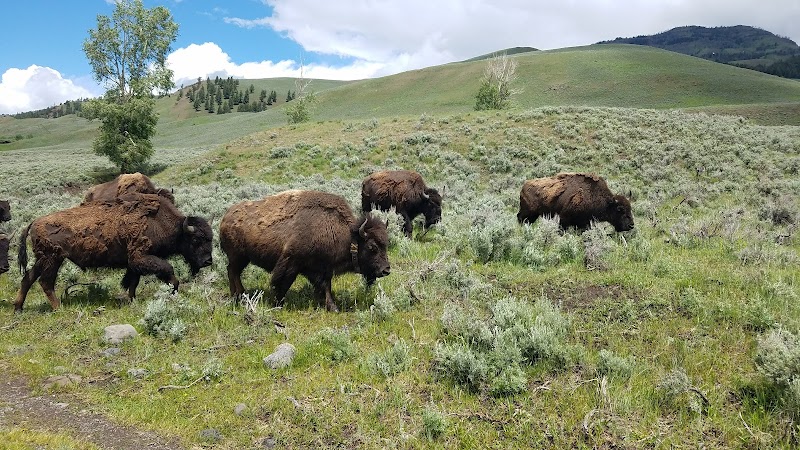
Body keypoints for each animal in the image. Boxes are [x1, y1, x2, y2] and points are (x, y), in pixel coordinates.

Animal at [15, 193, 213, 312]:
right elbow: (167, 269)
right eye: (196, 240)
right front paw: (174, 289)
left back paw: (18, 308)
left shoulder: (134, 263)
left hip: (42, 259)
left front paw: (132, 300)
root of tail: (34, 222)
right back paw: (58, 308)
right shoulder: (140, 257)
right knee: (45, 282)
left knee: (28, 278)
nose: (208, 261)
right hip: (53, 259)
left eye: (210, 238)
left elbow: (133, 282)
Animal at [220, 189, 391, 312]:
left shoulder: (319, 269)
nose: (386, 270)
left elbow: (325, 286)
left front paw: (331, 306)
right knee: (233, 272)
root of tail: (225, 217)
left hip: (242, 259)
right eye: (372, 247)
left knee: (232, 272)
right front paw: (278, 303)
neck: (348, 235)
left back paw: (238, 296)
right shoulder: (291, 263)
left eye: (386, 244)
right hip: (238, 257)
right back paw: (239, 296)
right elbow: (282, 283)